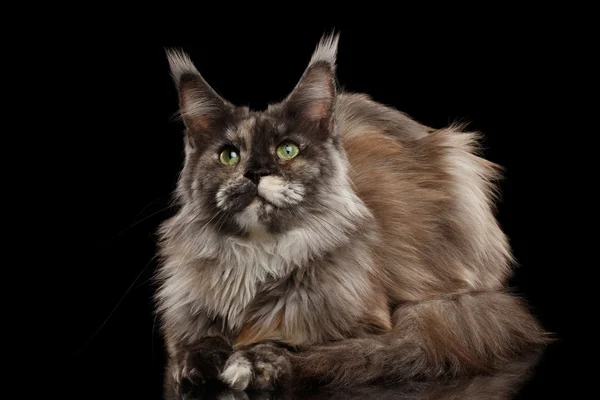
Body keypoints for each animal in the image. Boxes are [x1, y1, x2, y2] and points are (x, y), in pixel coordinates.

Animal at [155, 35, 548, 400]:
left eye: (287, 150)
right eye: (229, 156)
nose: (255, 173)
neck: (259, 257)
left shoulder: (366, 326)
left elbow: (307, 346)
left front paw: (254, 362)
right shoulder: (186, 323)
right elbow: (192, 347)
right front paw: (201, 364)